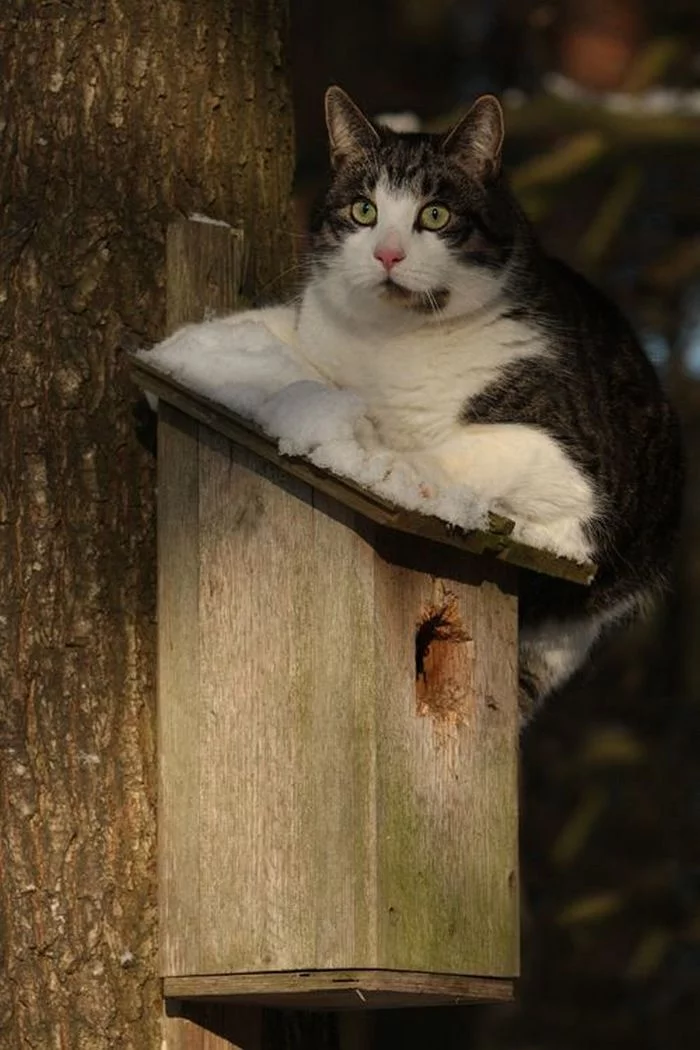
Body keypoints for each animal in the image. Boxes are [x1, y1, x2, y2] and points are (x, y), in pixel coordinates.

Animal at [156, 86, 680, 718]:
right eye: (364, 211)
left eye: (435, 215)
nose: (387, 254)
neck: (398, 342)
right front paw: (204, 351)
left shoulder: (579, 474)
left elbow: (476, 448)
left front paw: (393, 464)